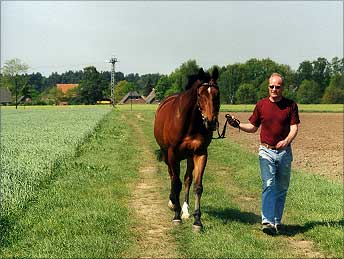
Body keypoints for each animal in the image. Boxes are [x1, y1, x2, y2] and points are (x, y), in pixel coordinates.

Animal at [154, 67, 219, 232]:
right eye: (200, 95)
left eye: (217, 94)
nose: (210, 122)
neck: (189, 123)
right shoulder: (172, 154)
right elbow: (176, 183)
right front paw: (176, 216)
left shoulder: (200, 153)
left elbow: (197, 186)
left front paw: (197, 221)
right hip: (167, 155)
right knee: (172, 177)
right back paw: (173, 203)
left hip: (189, 157)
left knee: (187, 179)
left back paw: (185, 210)